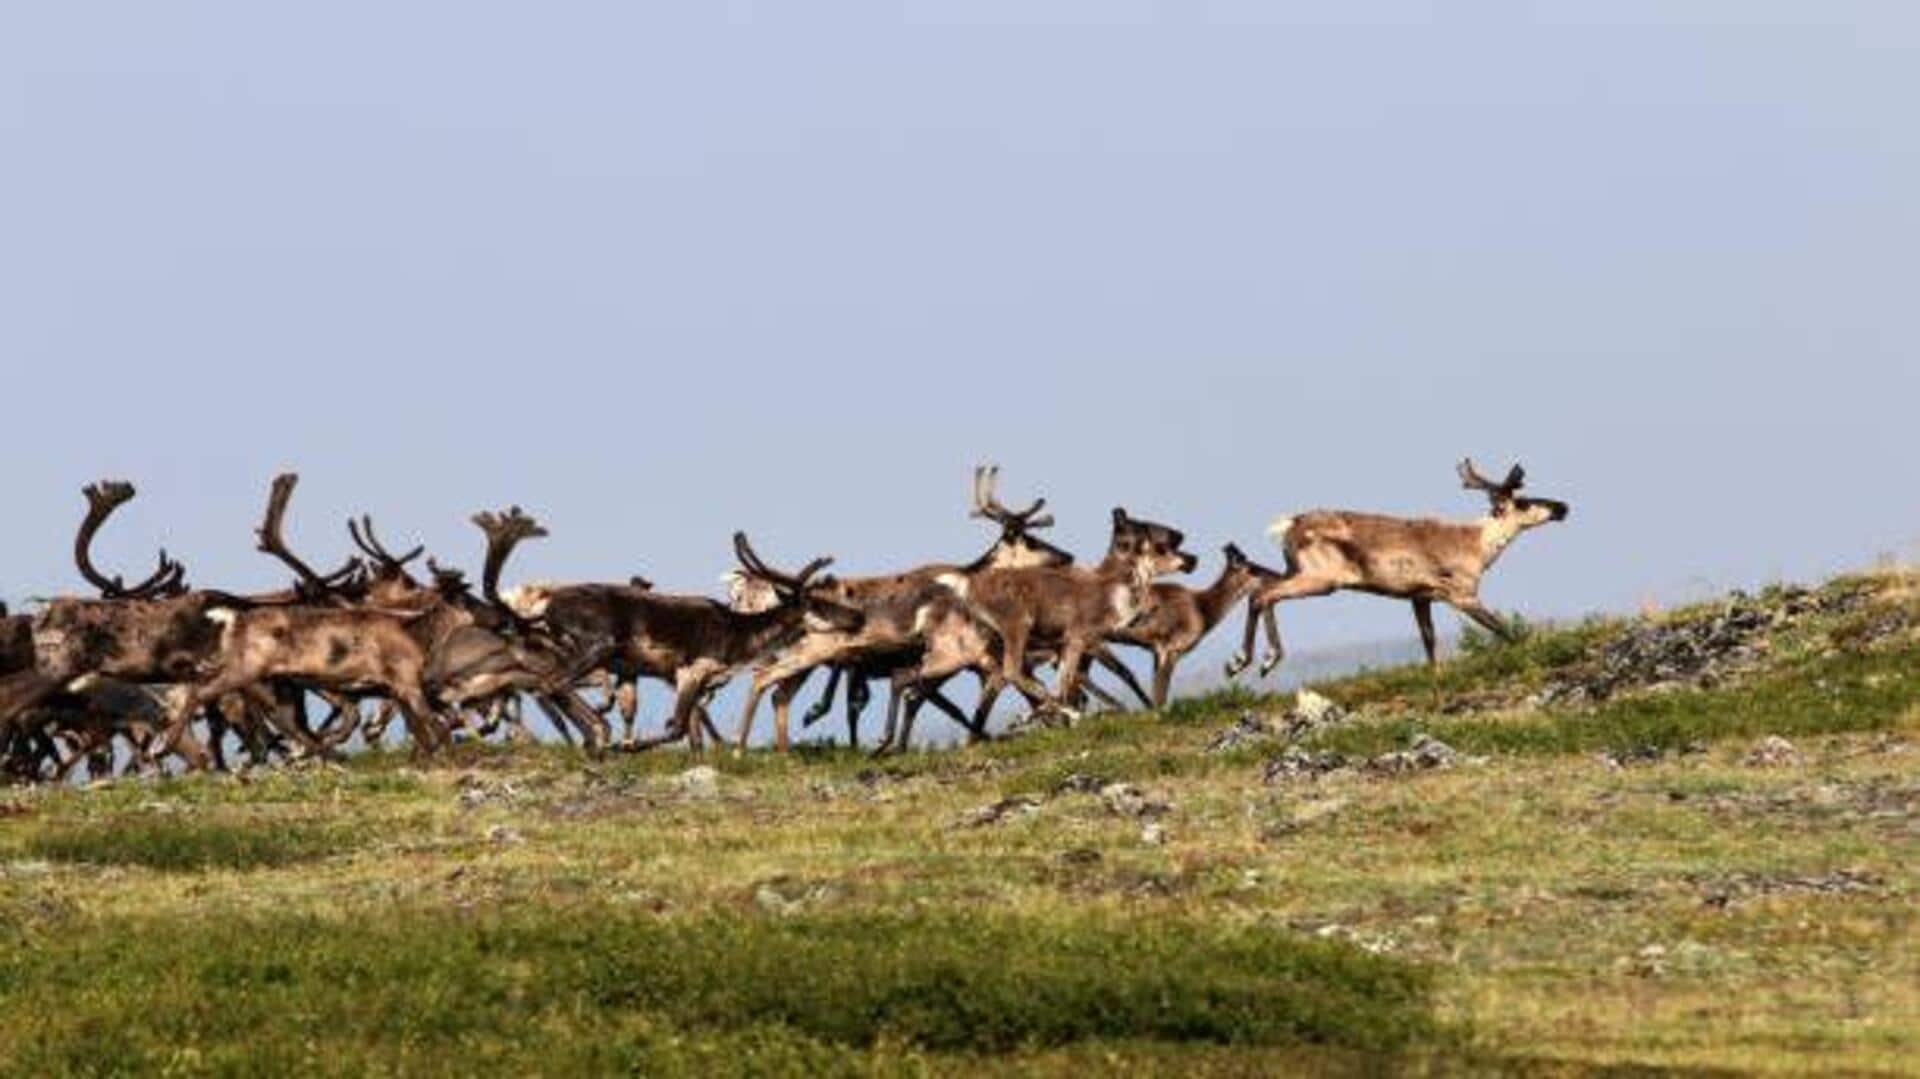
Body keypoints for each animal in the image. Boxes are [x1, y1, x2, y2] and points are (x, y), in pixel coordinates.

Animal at [1227, 458, 1570, 678]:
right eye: (1523, 502)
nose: (1562, 507)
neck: (1477, 545)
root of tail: (1289, 524)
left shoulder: (1420, 597)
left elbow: (1429, 641)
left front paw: (1436, 676)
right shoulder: (1462, 594)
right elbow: (1506, 629)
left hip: (1294, 571)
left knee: (1260, 589)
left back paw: (1243, 662)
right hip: (1320, 580)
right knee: (1264, 595)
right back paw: (1257, 660)